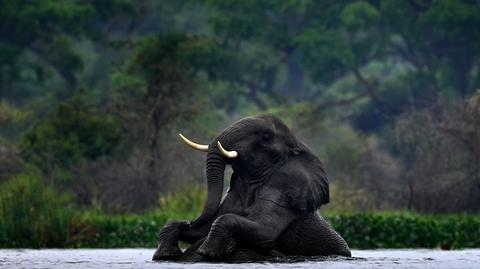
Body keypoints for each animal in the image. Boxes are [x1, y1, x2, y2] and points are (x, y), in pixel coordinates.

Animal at [152, 114, 350, 260]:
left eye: (265, 137)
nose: (190, 221)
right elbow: (203, 229)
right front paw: (165, 255)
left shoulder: (284, 193)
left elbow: (263, 232)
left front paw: (207, 253)